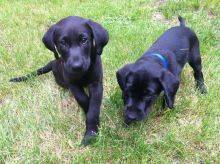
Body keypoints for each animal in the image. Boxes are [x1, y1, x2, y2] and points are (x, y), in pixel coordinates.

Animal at [9, 16, 108, 145]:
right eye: (63, 43)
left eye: (84, 40)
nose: (77, 66)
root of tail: (53, 63)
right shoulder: (72, 84)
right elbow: (82, 99)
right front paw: (88, 113)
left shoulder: (96, 83)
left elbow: (94, 108)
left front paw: (91, 132)